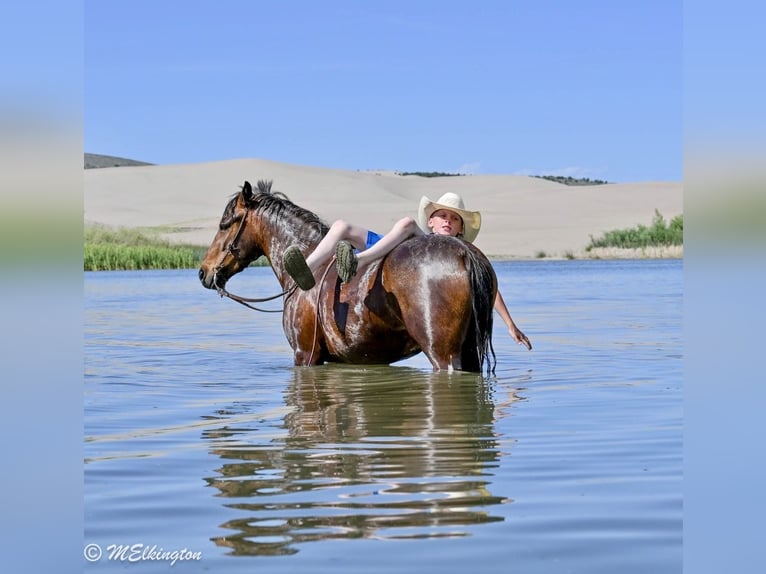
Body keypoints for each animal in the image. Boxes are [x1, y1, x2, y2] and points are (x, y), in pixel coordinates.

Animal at [198, 180, 497, 374]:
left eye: (224, 224)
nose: (204, 272)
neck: (309, 260)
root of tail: (463, 252)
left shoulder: (305, 355)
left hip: (442, 354)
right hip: (468, 352)